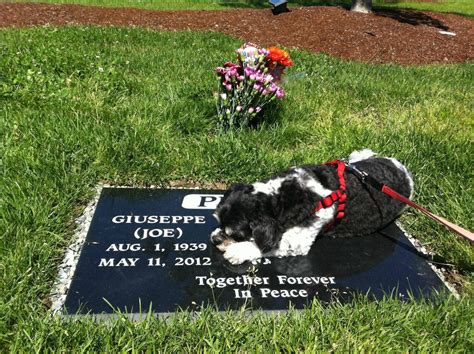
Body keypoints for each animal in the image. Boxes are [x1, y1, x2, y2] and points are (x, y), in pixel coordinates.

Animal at [209, 148, 412, 264]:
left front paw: (240, 250)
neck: (281, 195)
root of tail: (405, 171)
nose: (215, 239)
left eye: (237, 235)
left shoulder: (299, 238)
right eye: (217, 221)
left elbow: (269, 245)